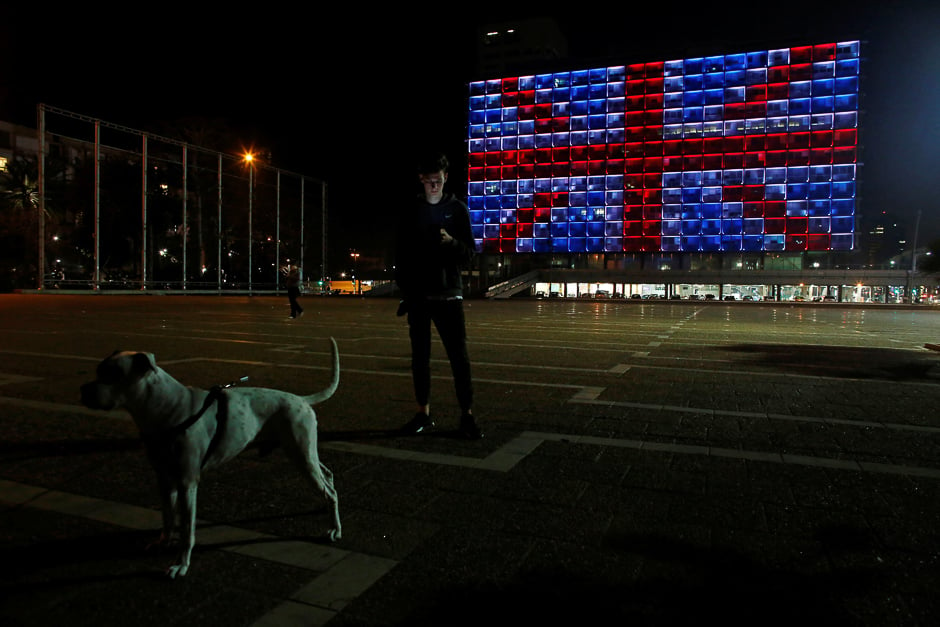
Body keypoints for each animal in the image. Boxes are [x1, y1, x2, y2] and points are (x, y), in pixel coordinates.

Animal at [79, 338, 340, 580]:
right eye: (98, 370)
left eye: (113, 374)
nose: (82, 390)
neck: (163, 408)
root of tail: (302, 399)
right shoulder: (164, 479)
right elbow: (168, 518)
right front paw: (163, 543)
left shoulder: (187, 483)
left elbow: (187, 530)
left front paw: (181, 565)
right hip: (305, 454)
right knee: (327, 476)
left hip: (301, 455)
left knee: (329, 490)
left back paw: (334, 529)